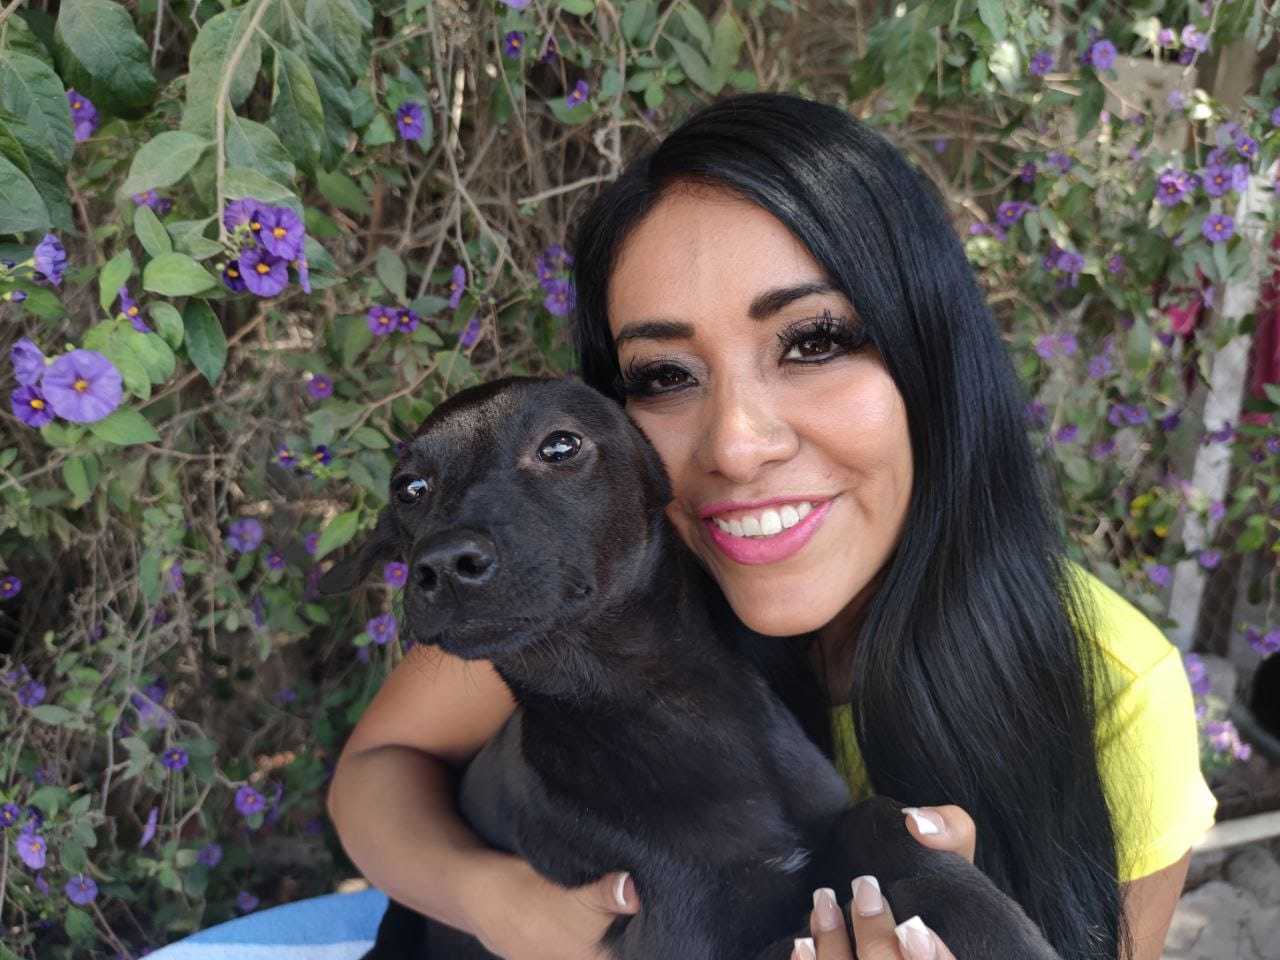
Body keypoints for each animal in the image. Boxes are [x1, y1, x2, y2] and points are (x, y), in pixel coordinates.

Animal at [322, 378, 1059, 960]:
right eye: (410, 488)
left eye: (560, 446)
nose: (441, 565)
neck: (664, 705)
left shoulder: (831, 823)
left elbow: (879, 820)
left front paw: (990, 923)